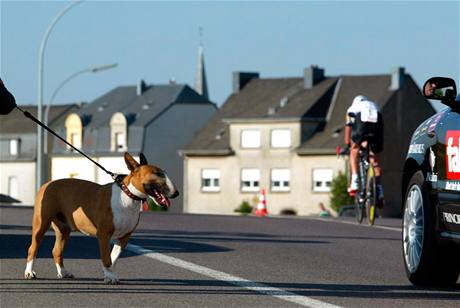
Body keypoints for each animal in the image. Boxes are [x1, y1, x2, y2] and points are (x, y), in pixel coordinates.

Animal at [23, 153, 179, 286]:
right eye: (158, 174)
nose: (176, 193)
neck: (127, 196)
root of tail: (47, 184)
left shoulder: (124, 237)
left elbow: (113, 257)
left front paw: (109, 274)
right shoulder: (103, 234)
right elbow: (107, 258)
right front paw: (110, 277)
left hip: (64, 229)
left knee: (57, 251)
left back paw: (63, 272)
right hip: (41, 224)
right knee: (33, 248)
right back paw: (29, 272)